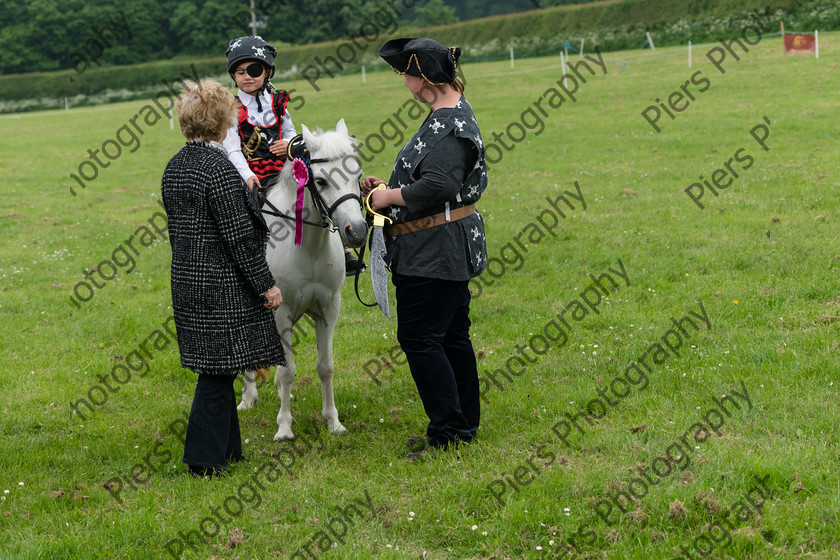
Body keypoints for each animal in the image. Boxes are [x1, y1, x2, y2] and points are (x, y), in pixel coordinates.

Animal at [236, 119, 368, 442]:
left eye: (357, 175)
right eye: (320, 181)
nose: (357, 231)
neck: (309, 247)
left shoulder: (328, 310)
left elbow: (325, 367)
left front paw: (333, 422)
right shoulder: (280, 312)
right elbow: (287, 371)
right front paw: (284, 428)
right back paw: (248, 397)